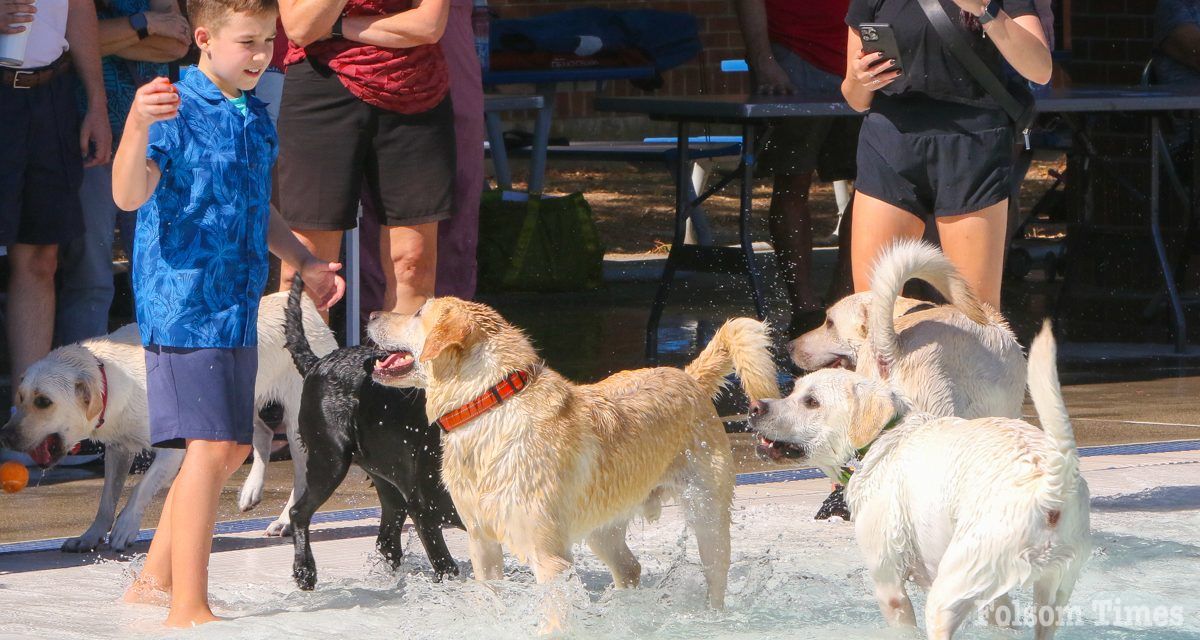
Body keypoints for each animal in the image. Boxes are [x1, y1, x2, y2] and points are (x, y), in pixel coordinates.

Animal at [1, 291, 338, 552]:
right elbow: (106, 499)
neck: (106, 374)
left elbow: (141, 488)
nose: (6, 436)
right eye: (20, 397)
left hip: (298, 424)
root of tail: (302, 305)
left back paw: (283, 521)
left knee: (300, 473)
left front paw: (125, 527)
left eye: (43, 401)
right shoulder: (119, 449)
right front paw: (90, 536)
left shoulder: (171, 450)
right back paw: (251, 490)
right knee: (264, 434)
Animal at [285, 278, 463, 588]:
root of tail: (317, 363)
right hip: (330, 459)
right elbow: (447, 567)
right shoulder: (424, 510)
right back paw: (305, 571)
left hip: (387, 478)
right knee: (299, 512)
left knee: (387, 540)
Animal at [364, 298, 777, 609]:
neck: (489, 403)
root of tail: (687, 376)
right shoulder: (483, 545)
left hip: (707, 516)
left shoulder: (550, 559)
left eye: (419, 312)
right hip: (602, 527)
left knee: (715, 576)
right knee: (631, 568)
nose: (370, 313)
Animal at [744, 321, 1094, 633]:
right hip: (1051, 594)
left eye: (811, 402)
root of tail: (1049, 485)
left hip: (947, 595)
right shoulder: (998, 599)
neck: (880, 438)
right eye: (793, 392)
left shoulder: (889, 587)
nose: (754, 407)